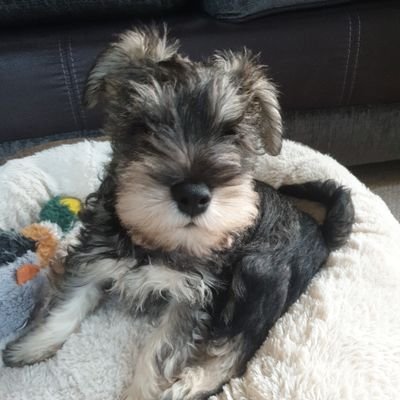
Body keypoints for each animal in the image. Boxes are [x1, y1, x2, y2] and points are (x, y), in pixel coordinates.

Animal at [3, 26, 354, 398]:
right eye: (145, 126)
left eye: (231, 134)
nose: (193, 195)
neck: (156, 240)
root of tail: (320, 232)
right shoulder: (94, 258)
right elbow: (68, 304)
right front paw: (31, 346)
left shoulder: (192, 297)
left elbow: (158, 350)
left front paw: (141, 392)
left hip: (259, 273)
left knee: (240, 346)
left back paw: (193, 382)